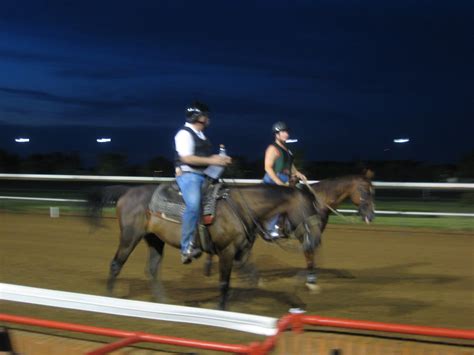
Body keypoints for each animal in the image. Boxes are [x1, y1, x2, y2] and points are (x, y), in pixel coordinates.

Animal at [85, 182, 322, 310]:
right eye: (308, 208)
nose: (316, 240)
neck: (240, 208)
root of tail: (127, 191)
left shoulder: (242, 253)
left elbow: (252, 279)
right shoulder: (226, 251)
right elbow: (224, 282)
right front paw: (221, 308)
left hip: (154, 239)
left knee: (152, 269)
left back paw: (163, 301)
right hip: (129, 237)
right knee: (116, 264)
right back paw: (108, 299)